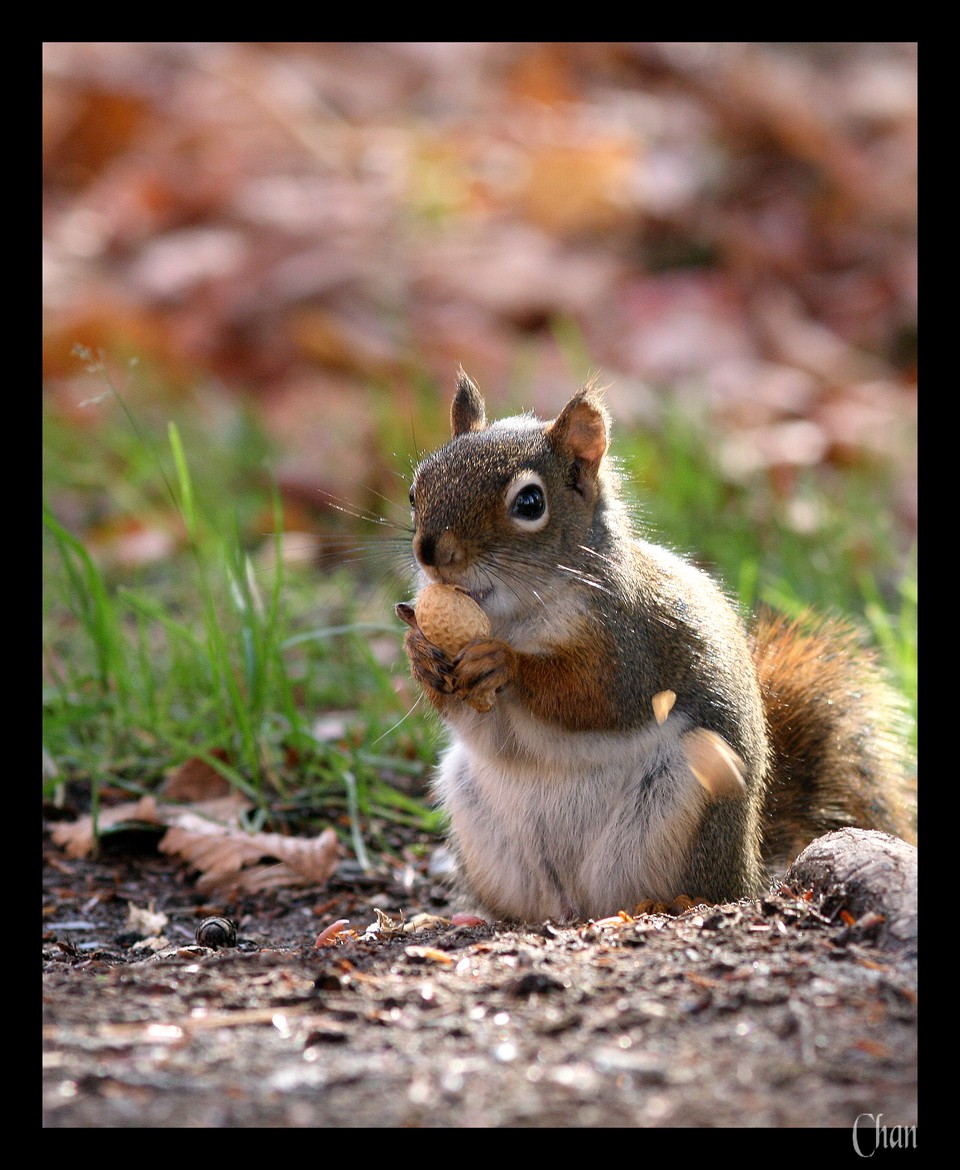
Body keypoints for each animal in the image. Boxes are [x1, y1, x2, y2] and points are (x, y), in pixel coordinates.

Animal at [395, 367, 912, 921]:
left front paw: (504, 663)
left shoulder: (634, 645)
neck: (509, 617)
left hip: (686, 803)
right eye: (416, 490)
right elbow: (475, 722)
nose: (431, 552)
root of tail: (749, 870)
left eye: (529, 504)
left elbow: (598, 698)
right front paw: (420, 654)